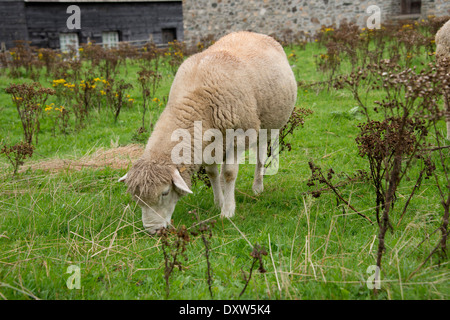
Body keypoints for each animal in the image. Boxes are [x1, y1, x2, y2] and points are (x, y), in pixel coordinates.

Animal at [118, 31, 298, 234]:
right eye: (136, 198)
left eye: (165, 192)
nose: (152, 230)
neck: (194, 100)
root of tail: (252, 32)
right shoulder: (205, 144)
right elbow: (212, 173)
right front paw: (219, 202)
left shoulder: (239, 136)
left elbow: (229, 173)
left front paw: (227, 211)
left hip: (269, 126)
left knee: (260, 157)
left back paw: (257, 187)